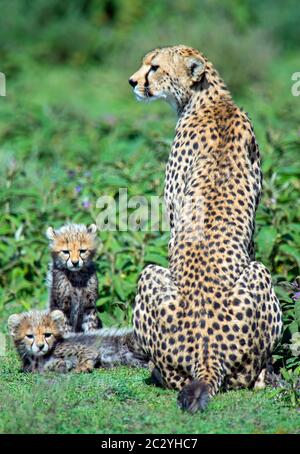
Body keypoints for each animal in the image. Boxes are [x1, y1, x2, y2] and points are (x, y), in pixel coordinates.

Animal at [128, 45, 282, 412]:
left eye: (154, 67)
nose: (132, 82)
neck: (210, 100)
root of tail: (208, 355)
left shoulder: (173, 211)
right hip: (258, 272)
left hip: (151, 274)